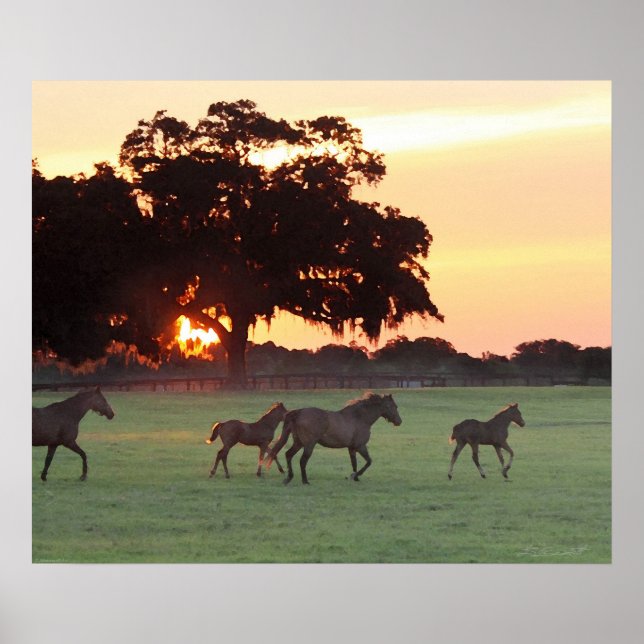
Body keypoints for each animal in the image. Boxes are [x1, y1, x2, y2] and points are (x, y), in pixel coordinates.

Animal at [264, 392, 402, 485]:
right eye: (393, 406)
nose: (399, 421)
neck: (359, 418)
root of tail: (299, 412)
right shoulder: (360, 446)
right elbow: (368, 461)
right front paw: (355, 475)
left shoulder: (351, 448)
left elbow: (354, 463)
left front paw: (355, 477)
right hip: (309, 444)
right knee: (302, 461)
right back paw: (305, 481)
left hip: (298, 442)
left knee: (288, 455)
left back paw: (289, 478)